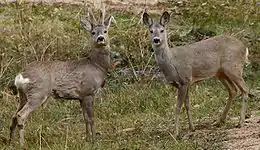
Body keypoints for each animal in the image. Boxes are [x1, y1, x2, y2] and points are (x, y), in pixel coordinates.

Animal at [9, 7, 120, 147]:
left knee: (14, 115)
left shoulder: (81, 97)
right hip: (38, 92)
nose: (100, 38)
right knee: (21, 115)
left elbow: (85, 118)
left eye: (105, 31)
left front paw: (87, 139)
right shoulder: (88, 92)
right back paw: (22, 144)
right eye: (93, 32)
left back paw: (10, 142)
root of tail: (21, 76)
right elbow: (91, 118)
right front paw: (94, 140)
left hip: (23, 95)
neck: (96, 65)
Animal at [143, 10, 249, 138]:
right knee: (233, 90)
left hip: (234, 68)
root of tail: (245, 47)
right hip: (221, 73)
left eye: (162, 30)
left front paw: (176, 133)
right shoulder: (186, 83)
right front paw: (191, 127)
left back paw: (240, 122)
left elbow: (178, 107)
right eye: (151, 31)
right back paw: (219, 121)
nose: (156, 40)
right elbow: (187, 105)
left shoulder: (184, 80)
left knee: (245, 89)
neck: (172, 62)